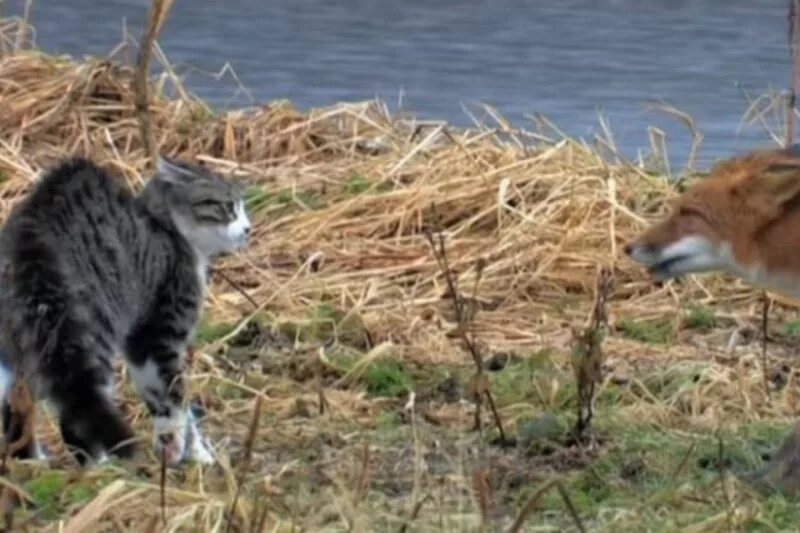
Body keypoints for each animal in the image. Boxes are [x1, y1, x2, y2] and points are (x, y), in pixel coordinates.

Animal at [0, 155, 250, 466]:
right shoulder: (157, 333)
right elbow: (171, 396)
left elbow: (171, 401)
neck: (169, 229)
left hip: (20, 346)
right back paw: (100, 467)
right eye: (228, 207)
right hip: (89, 337)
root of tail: (32, 244)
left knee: (15, 404)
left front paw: (195, 453)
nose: (248, 229)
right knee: (78, 407)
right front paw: (177, 447)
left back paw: (30, 462)